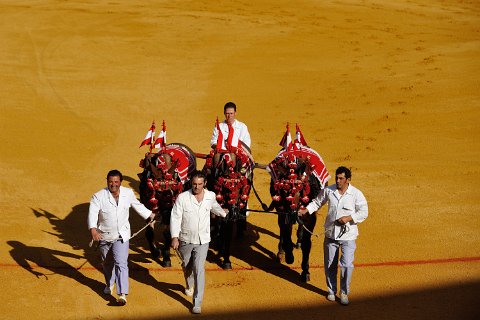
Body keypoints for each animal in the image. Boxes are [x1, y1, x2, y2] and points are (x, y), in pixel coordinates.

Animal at [202, 142, 255, 270]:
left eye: (240, 188)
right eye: (225, 188)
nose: (234, 212)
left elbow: (228, 230)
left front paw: (226, 259)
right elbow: (221, 223)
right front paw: (221, 247)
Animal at [266, 146, 330, 282]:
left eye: (300, 189)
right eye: (283, 190)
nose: (293, 213)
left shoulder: (310, 217)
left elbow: (306, 243)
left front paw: (305, 271)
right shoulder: (283, 212)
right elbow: (286, 233)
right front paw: (289, 255)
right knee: (283, 231)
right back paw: (281, 253)